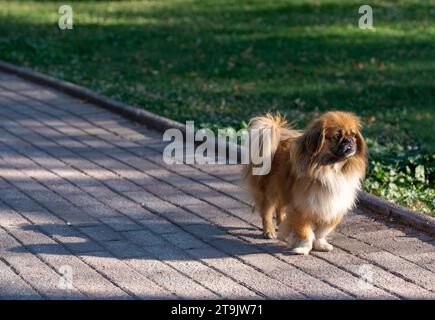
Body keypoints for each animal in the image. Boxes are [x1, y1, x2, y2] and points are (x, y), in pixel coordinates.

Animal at [242, 112, 368, 255]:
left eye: (354, 135)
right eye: (337, 136)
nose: (348, 140)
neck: (331, 167)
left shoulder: (334, 206)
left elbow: (322, 231)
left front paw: (320, 244)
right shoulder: (302, 206)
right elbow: (305, 231)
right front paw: (303, 248)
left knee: (280, 207)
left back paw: (282, 223)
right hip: (269, 190)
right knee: (266, 212)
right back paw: (269, 231)